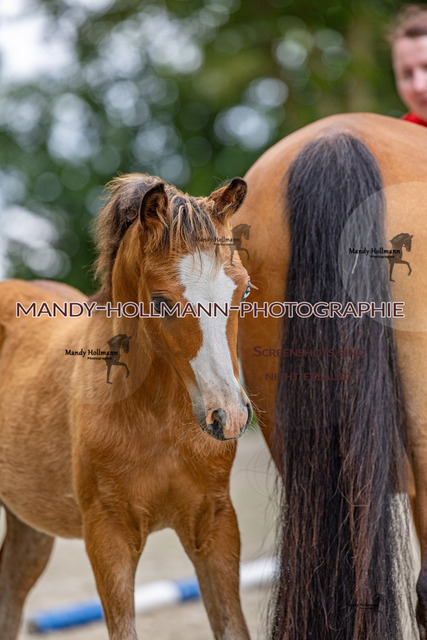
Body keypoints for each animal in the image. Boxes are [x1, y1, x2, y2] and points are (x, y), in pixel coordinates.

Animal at [0, 174, 253, 640]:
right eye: (161, 301)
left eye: (243, 289)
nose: (228, 417)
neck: (161, 422)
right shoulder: (108, 534)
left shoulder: (215, 524)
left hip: (29, 526)